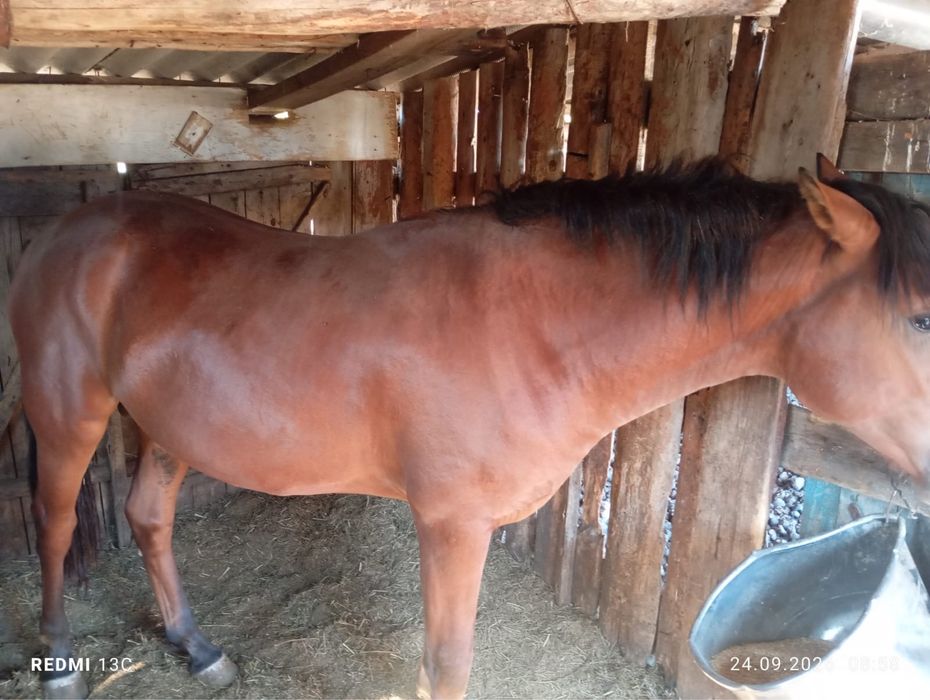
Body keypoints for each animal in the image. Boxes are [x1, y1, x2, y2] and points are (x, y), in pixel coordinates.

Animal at [10, 154, 930, 699]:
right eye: (920, 317)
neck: (530, 326)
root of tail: (67, 229)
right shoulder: (452, 527)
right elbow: (448, 662)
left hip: (170, 426)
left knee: (149, 520)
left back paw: (197, 646)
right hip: (69, 417)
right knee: (55, 525)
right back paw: (58, 662)